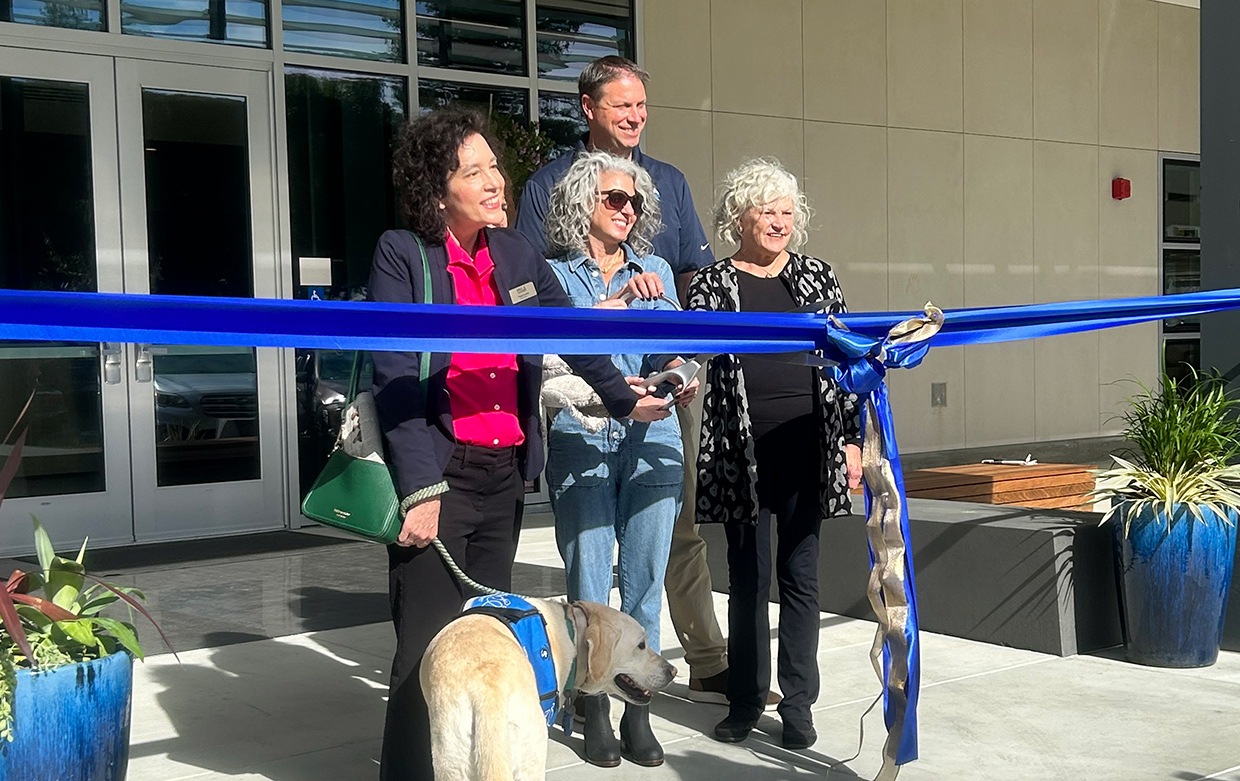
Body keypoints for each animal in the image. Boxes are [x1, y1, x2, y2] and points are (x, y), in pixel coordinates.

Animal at [424, 597, 679, 778]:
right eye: (641, 645)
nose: (673, 671)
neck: (572, 631)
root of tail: (487, 693)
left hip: (451, 761)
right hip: (531, 754)